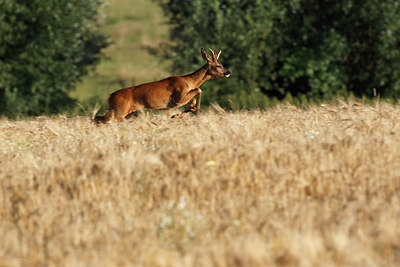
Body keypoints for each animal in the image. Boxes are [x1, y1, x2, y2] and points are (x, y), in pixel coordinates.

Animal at [94, 48, 231, 123]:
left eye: (222, 64)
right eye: (218, 65)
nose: (228, 72)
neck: (189, 81)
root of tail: (109, 96)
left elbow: (192, 98)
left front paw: (178, 115)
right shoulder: (178, 97)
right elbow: (199, 89)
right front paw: (195, 109)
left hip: (125, 113)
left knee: (98, 118)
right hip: (119, 110)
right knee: (101, 119)